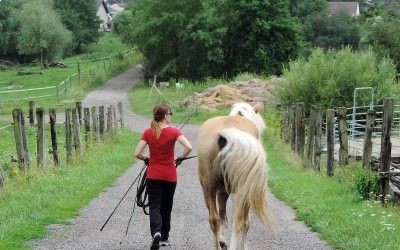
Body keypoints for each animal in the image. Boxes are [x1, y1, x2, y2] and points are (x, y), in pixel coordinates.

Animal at [196, 102, 268, 250]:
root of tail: (225, 134)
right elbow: (245, 223)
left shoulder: (222, 192)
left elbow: (222, 216)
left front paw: (222, 241)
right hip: (242, 189)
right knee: (239, 222)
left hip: (208, 188)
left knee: (214, 219)